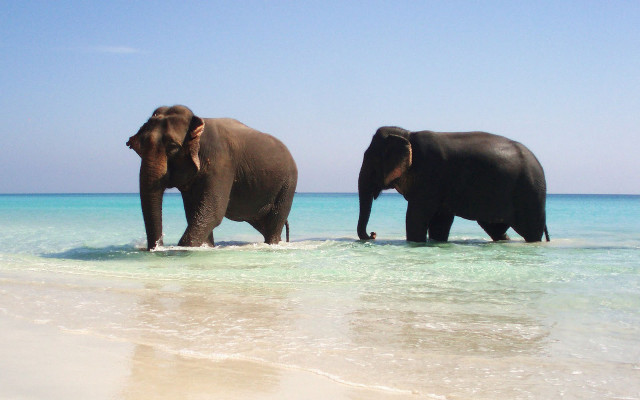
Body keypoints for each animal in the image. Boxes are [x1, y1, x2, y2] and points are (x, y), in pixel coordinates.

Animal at [126, 105, 297, 250]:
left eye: (172, 147)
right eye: (140, 148)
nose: (157, 247)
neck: (199, 123)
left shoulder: (221, 163)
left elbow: (213, 211)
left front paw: (185, 248)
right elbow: (194, 212)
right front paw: (207, 247)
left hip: (288, 185)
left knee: (275, 222)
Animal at [357, 126, 549, 243]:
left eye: (372, 162)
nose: (373, 234)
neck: (408, 134)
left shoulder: (431, 173)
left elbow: (416, 216)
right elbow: (440, 221)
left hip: (530, 194)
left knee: (531, 231)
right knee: (494, 228)